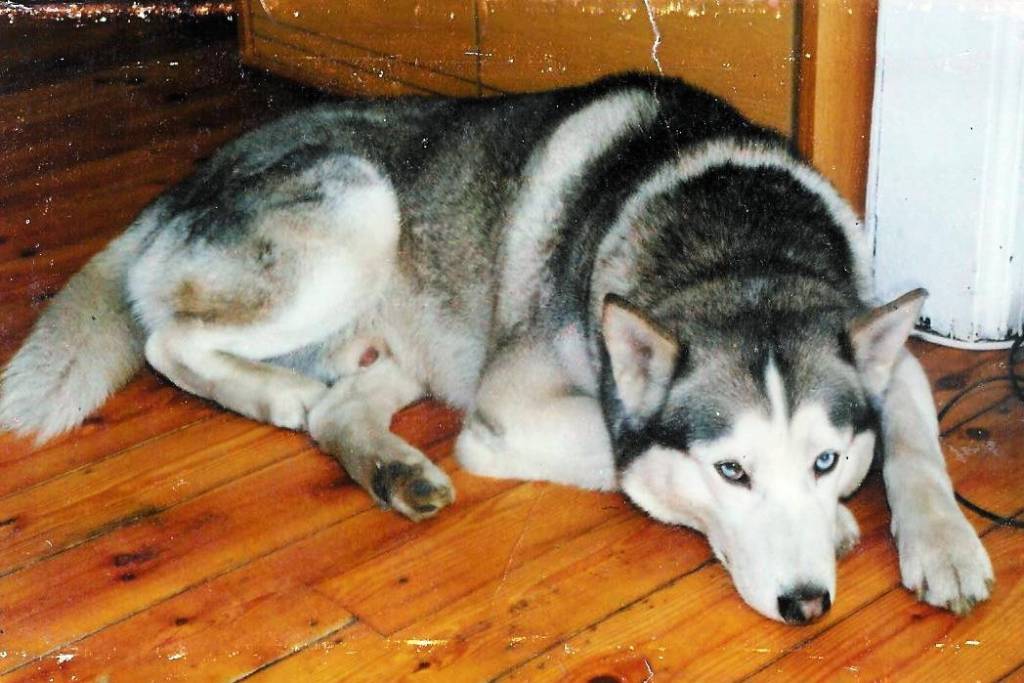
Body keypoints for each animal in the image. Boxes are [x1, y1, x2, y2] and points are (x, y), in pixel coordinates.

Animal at [0, 73, 993, 623]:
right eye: (731, 471)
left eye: (826, 456)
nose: (805, 605)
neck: (741, 248)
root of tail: (187, 180)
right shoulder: (510, 409)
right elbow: (628, 459)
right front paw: (836, 525)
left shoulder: (890, 356)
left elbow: (915, 435)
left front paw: (943, 542)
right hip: (360, 208)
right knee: (170, 337)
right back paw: (274, 396)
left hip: (399, 332)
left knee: (338, 403)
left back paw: (392, 466)